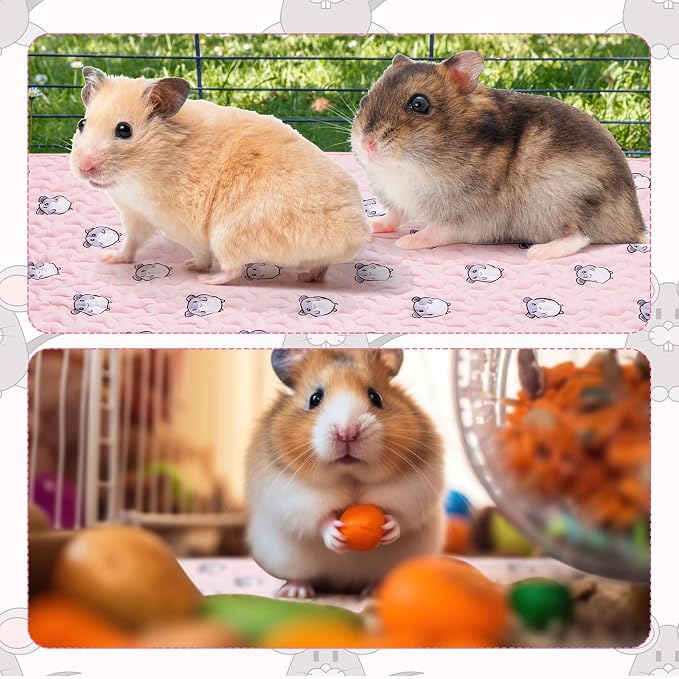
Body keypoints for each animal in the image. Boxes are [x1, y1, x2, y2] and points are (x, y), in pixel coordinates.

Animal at [70, 67, 371, 286]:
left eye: (124, 130)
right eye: (82, 123)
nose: (83, 168)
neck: (137, 176)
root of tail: (355, 234)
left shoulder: (183, 226)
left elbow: (200, 253)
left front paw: (193, 266)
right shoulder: (135, 213)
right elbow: (131, 243)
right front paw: (110, 258)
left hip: (227, 234)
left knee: (232, 269)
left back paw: (207, 279)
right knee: (321, 264)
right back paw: (308, 277)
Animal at [245, 349, 445, 598]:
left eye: (376, 397)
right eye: (314, 398)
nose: (347, 433)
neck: (350, 475)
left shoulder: (414, 488)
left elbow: (400, 514)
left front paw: (389, 527)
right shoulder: (295, 494)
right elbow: (319, 518)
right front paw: (334, 535)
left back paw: (375, 590)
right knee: (300, 576)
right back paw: (296, 592)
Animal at [351, 51, 648, 260]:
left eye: (419, 104)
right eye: (365, 100)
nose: (367, 144)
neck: (410, 168)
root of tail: (636, 226)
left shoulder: (463, 218)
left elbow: (435, 230)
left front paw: (405, 242)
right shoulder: (399, 201)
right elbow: (394, 216)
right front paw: (371, 226)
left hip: (562, 200)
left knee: (580, 234)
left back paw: (538, 253)